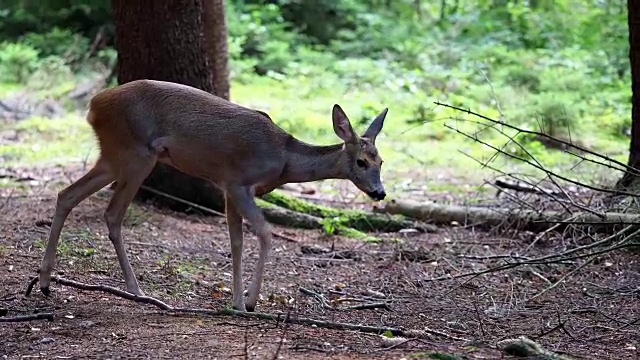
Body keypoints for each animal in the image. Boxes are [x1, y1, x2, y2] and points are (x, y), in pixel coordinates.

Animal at [40, 79, 390, 312]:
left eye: (382, 161)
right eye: (362, 161)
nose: (380, 192)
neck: (284, 160)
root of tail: (93, 106)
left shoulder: (226, 186)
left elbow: (236, 241)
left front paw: (236, 301)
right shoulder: (237, 182)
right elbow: (264, 233)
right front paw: (250, 301)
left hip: (113, 156)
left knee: (67, 194)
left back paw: (45, 283)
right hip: (136, 153)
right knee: (112, 213)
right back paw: (136, 290)